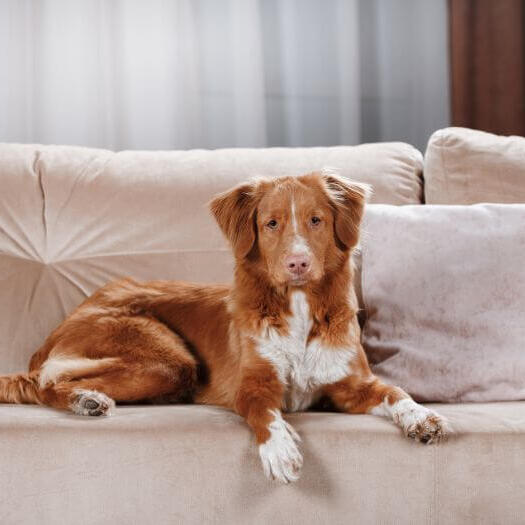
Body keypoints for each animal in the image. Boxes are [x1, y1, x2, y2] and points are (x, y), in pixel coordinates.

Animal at [0, 172, 446, 484]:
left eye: (316, 220)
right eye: (271, 224)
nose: (297, 263)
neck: (299, 308)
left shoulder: (353, 385)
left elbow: (395, 392)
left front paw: (422, 417)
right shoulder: (252, 385)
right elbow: (264, 413)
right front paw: (279, 450)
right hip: (166, 359)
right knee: (45, 382)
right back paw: (85, 401)